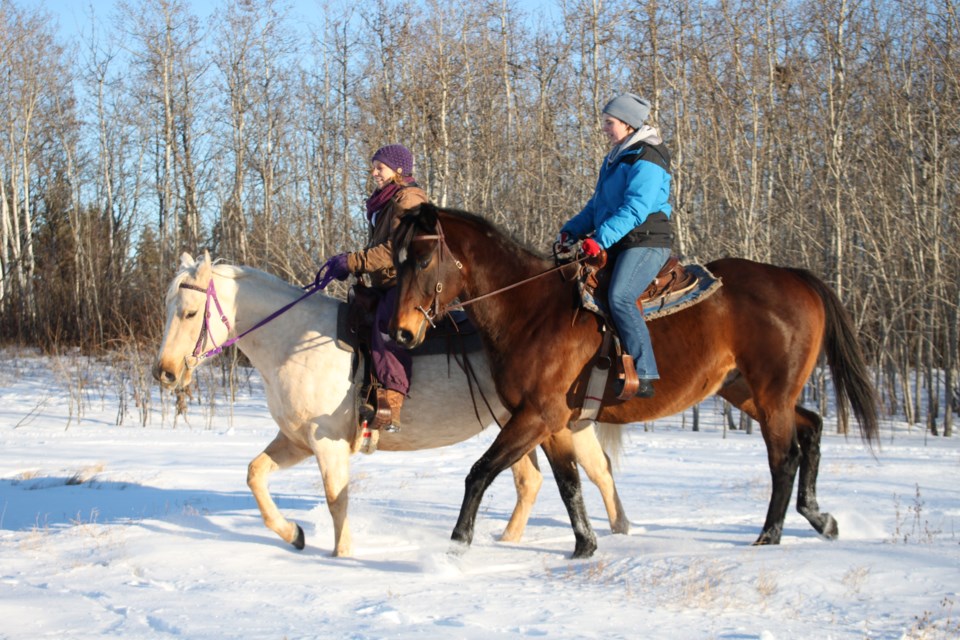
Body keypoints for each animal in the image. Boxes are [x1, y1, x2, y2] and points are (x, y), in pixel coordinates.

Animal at [152, 250, 632, 556]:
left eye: (190, 313)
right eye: (167, 305)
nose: (166, 372)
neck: (292, 342)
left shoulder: (327, 445)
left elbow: (336, 500)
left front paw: (342, 556)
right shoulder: (297, 441)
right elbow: (255, 474)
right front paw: (294, 535)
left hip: (548, 422)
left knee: (594, 471)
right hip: (523, 424)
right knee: (542, 479)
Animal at [388, 202, 876, 556]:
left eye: (424, 259)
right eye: (398, 259)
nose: (402, 331)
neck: (530, 312)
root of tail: (795, 277)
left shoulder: (535, 416)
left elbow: (480, 472)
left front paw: (457, 545)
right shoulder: (553, 424)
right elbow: (569, 484)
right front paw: (585, 546)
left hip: (771, 396)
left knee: (784, 458)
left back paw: (770, 536)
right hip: (748, 392)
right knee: (811, 429)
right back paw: (820, 517)